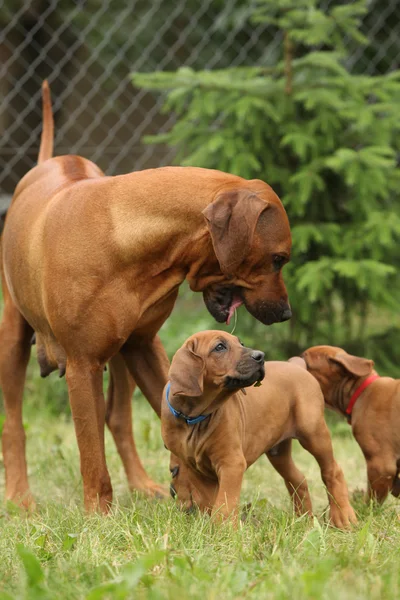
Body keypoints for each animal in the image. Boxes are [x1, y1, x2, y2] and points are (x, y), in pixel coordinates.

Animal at [0, 79, 294, 510]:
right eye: (278, 259)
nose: (287, 312)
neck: (123, 234)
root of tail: (48, 161)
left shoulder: (143, 345)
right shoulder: (83, 363)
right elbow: (91, 453)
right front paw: (98, 515)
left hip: (123, 351)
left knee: (119, 418)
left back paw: (141, 484)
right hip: (13, 333)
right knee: (14, 422)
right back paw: (20, 497)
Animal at [162, 330, 356, 528]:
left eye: (241, 343)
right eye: (219, 347)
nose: (260, 356)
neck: (194, 418)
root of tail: (296, 366)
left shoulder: (231, 463)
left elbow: (225, 504)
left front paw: (224, 530)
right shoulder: (195, 469)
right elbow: (210, 503)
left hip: (313, 432)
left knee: (332, 470)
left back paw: (343, 517)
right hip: (278, 452)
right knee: (298, 479)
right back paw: (304, 521)